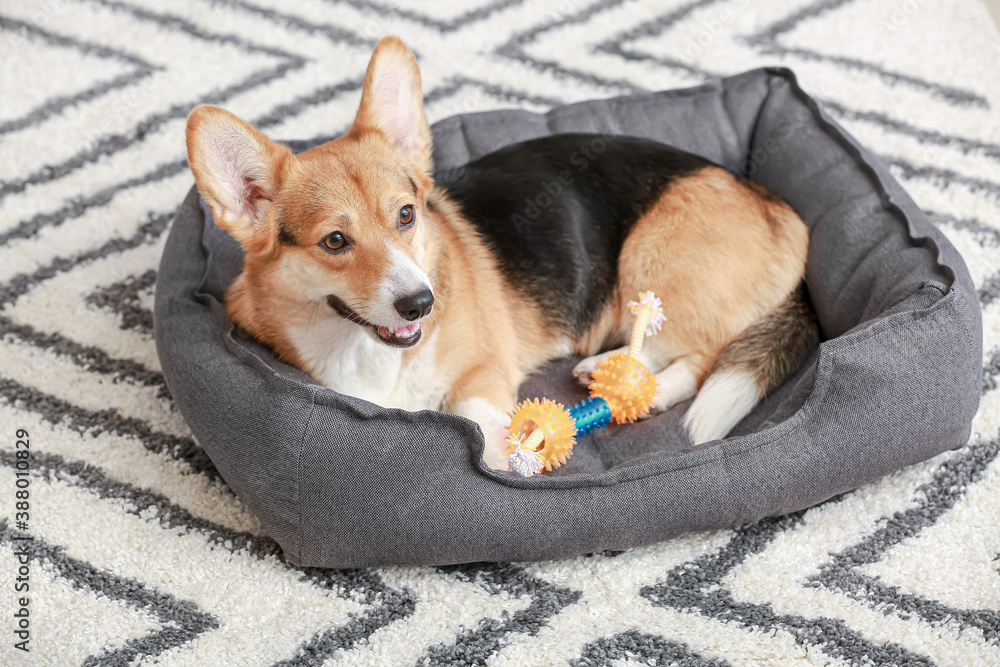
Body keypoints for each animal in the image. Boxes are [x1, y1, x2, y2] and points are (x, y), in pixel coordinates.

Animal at [184, 36, 816, 472]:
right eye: (335, 241)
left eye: (406, 215)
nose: (421, 304)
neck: (368, 352)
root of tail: (776, 208)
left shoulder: (485, 370)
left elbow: (472, 411)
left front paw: (501, 450)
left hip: (651, 260)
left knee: (698, 355)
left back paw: (627, 381)